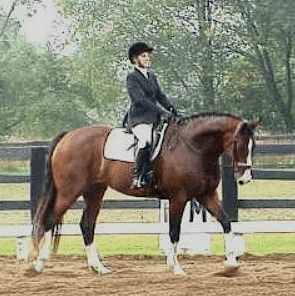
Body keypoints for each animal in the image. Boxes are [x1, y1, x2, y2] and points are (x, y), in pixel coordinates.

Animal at [31, 111, 260, 276]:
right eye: (239, 144)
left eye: (253, 146)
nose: (245, 179)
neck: (194, 148)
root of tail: (68, 136)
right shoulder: (178, 198)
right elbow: (174, 231)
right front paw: (176, 268)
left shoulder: (206, 196)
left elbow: (226, 222)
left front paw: (231, 264)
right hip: (69, 191)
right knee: (50, 220)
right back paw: (39, 265)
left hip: (94, 191)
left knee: (87, 225)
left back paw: (99, 268)